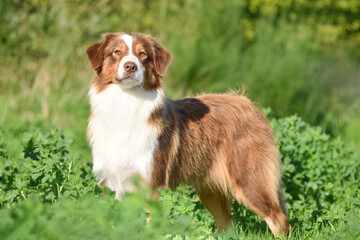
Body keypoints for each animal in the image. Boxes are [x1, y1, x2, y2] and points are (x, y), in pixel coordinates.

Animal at [86, 32, 288, 237]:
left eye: (143, 54)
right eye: (116, 52)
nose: (130, 66)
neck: (126, 102)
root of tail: (250, 104)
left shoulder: (152, 183)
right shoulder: (111, 182)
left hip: (248, 179)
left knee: (278, 218)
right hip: (211, 190)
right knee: (228, 223)